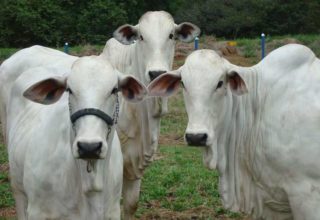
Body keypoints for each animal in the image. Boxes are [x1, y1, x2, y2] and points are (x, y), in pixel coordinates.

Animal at [7, 56, 147, 218]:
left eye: (114, 90)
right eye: (69, 90)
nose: (89, 147)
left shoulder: (113, 211)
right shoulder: (38, 212)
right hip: (17, 186)